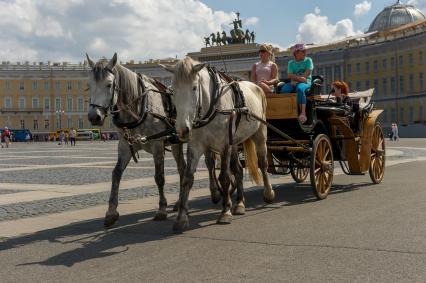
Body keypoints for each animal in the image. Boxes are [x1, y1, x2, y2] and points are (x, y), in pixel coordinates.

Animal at [85, 53, 220, 229]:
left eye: (109, 85)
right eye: (89, 85)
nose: (94, 117)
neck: (140, 108)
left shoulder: (157, 145)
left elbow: (159, 177)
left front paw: (161, 209)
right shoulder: (125, 147)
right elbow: (116, 174)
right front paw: (111, 212)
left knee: (210, 164)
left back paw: (215, 193)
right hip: (177, 144)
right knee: (182, 169)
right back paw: (179, 203)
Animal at [161, 56, 274, 233]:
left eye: (194, 88)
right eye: (173, 90)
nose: (182, 129)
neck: (211, 106)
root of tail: (256, 85)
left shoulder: (224, 145)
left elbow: (225, 178)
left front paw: (225, 211)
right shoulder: (195, 146)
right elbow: (187, 178)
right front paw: (181, 218)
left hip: (260, 133)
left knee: (262, 163)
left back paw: (268, 193)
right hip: (235, 142)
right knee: (238, 169)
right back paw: (240, 203)